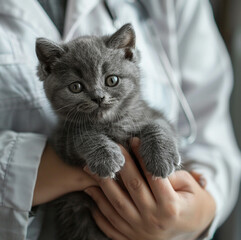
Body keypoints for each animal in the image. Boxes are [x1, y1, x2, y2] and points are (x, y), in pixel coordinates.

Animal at [35, 23, 181, 240]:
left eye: (112, 80)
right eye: (76, 86)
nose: (98, 97)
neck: (109, 123)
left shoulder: (154, 115)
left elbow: (158, 125)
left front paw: (161, 158)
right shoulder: (62, 140)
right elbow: (82, 136)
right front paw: (106, 157)